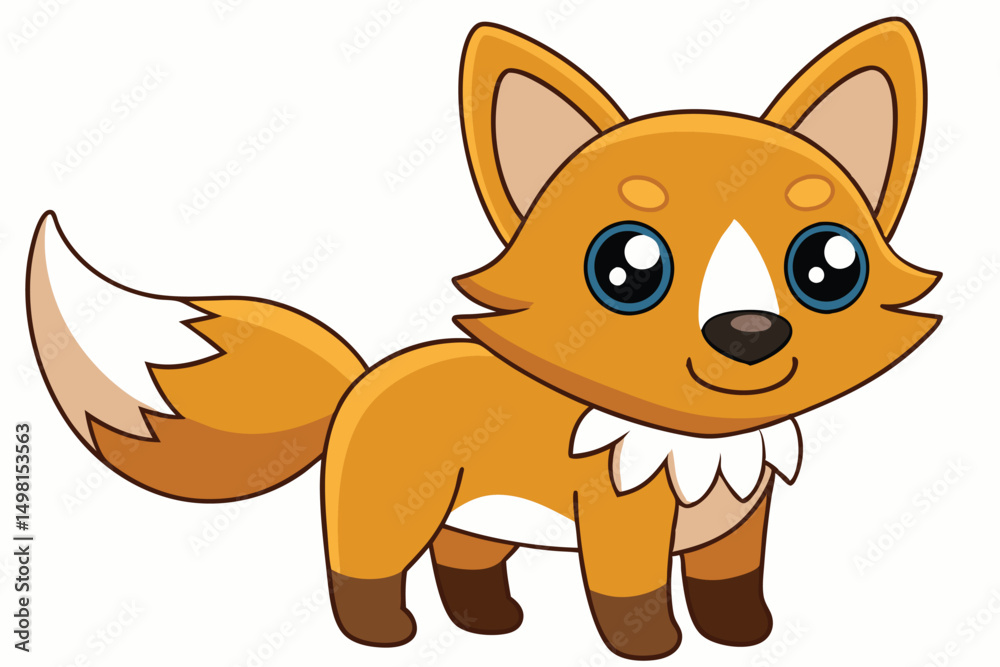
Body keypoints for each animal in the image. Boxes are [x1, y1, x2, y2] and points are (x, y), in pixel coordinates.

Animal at [26, 18, 940, 660]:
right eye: (626, 268)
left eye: (830, 264)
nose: (749, 332)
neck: (701, 449)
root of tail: (363, 379)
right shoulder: (621, 526)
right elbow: (630, 598)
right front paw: (652, 649)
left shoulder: (741, 527)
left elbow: (732, 588)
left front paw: (744, 637)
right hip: (386, 513)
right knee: (361, 572)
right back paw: (383, 635)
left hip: (473, 514)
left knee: (462, 560)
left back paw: (489, 621)